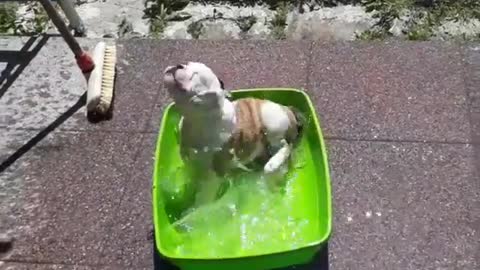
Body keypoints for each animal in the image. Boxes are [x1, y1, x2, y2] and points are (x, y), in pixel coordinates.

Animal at [163, 62, 302, 202]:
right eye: (186, 64)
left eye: (194, 76)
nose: (179, 65)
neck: (199, 119)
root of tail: (288, 108)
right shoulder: (192, 164)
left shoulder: (215, 174)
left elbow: (205, 196)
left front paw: (200, 206)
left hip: (270, 121)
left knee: (285, 146)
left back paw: (273, 163)